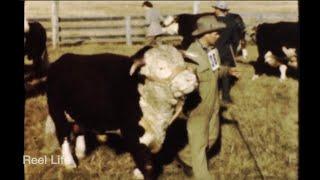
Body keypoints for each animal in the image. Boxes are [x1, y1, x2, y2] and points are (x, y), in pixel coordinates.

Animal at [46, 44, 199, 179]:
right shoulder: (132, 132)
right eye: (161, 67)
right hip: (58, 113)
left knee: (79, 130)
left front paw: (137, 173)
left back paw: (81, 153)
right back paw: (70, 163)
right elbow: (147, 165)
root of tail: (62, 60)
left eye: (183, 62)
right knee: (63, 136)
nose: (191, 79)